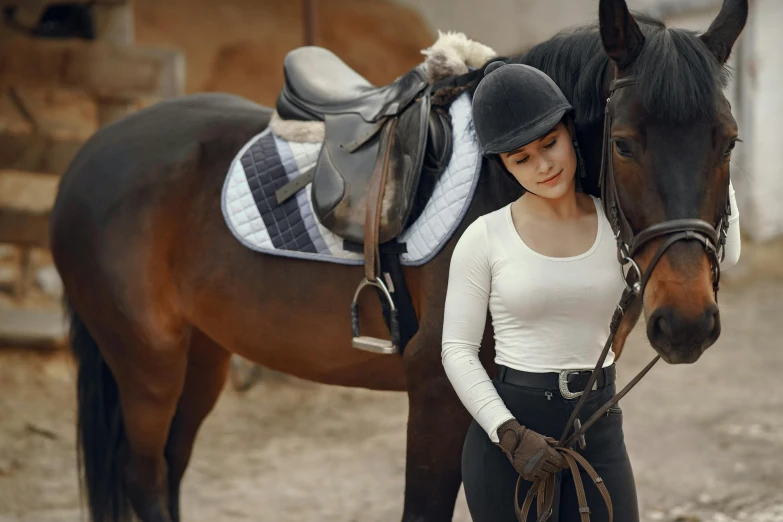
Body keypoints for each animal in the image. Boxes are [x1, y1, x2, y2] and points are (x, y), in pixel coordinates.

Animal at [52, 0, 752, 516]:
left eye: (728, 140)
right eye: (625, 144)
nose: (687, 322)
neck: (509, 185)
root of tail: (89, 154)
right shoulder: (441, 394)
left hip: (201, 355)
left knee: (168, 470)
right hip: (148, 362)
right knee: (145, 476)